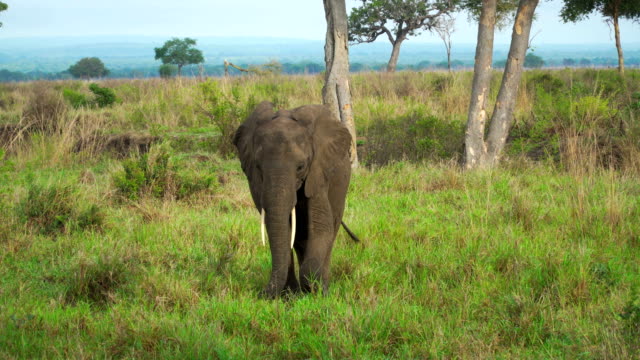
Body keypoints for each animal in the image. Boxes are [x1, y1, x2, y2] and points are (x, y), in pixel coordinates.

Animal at [232, 100, 358, 298]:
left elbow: (321, 224)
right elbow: (279, 229)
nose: (261, 294)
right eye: (258, 167)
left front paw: (314, 289)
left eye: (300, 167)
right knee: (299, 238)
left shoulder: (318, 172)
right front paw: (289, 296)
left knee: (331, 229)